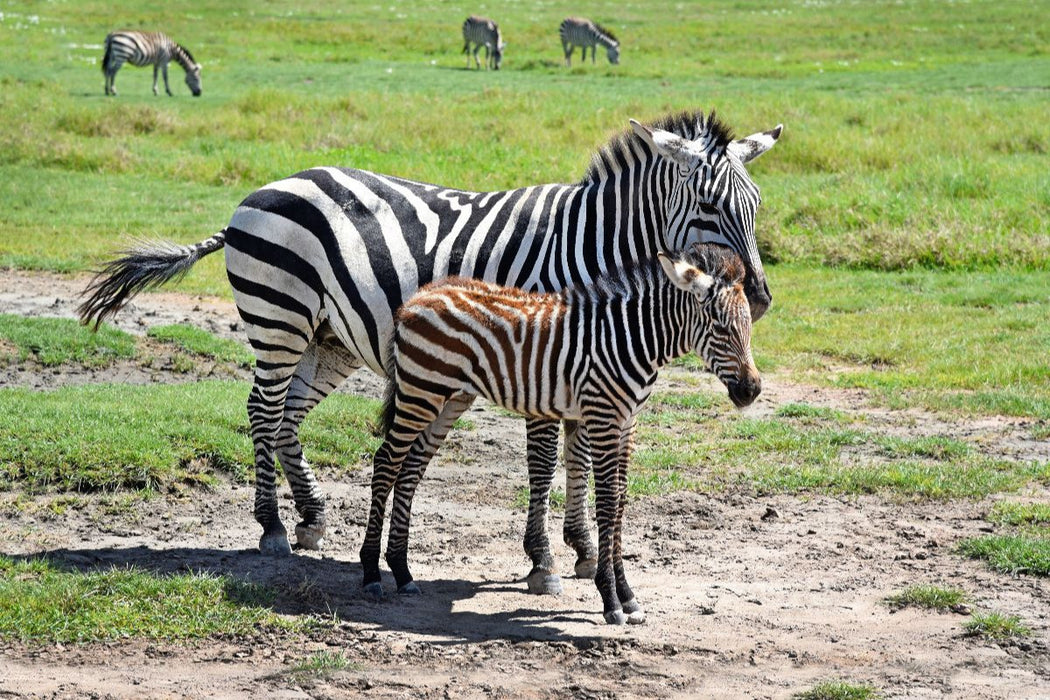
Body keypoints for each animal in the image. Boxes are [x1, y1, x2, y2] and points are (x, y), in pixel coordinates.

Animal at [365, 243, 760, 624]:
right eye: (719, 326)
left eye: (748, 327)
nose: (751, 390)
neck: (631, 340)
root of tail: (418, 296)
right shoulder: (603, 417)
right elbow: (607, 502)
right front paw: (610, 598)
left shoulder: (627, 423)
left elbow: (620, 500)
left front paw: (628, 595)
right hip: (421, 392)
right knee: (386, 463)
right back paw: (371, 573)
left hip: (450, 398)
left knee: (410, 468)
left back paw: (402, 571)